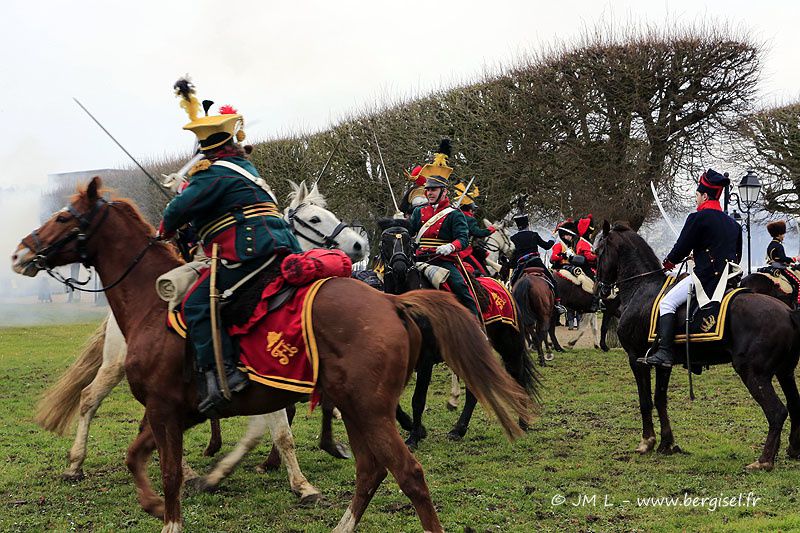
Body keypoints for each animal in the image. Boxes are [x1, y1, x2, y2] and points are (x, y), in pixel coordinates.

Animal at [34, 180, 366, 498]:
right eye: (315, 218)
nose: (360, 244)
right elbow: (283, 432)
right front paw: (300, 482)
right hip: (116, 366)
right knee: (89, 399)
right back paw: (76, 464)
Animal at [378, 221, 540, 448]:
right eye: (384, 242)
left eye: (409, 242)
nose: (400, 268)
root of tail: (504, 287)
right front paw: (415, 428)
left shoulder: (426, 360)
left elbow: (418, 399)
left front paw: (414, 436)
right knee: (475, 389)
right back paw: (459, 429)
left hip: (509, 344)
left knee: (518, 377)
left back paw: (522, 421)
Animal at [592, 220, 800, 470]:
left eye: (598, 251)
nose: (599, 290)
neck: (642, 288)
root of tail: (788, 312)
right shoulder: (663, 363)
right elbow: (660, 399)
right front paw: (667, 444)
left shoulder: (636, 358)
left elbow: (645, 400)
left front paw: (647, 442)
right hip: (784, 372)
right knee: (795, 404)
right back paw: (792, 449)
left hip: (754, 374)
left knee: (777, 411)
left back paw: (764, 460)